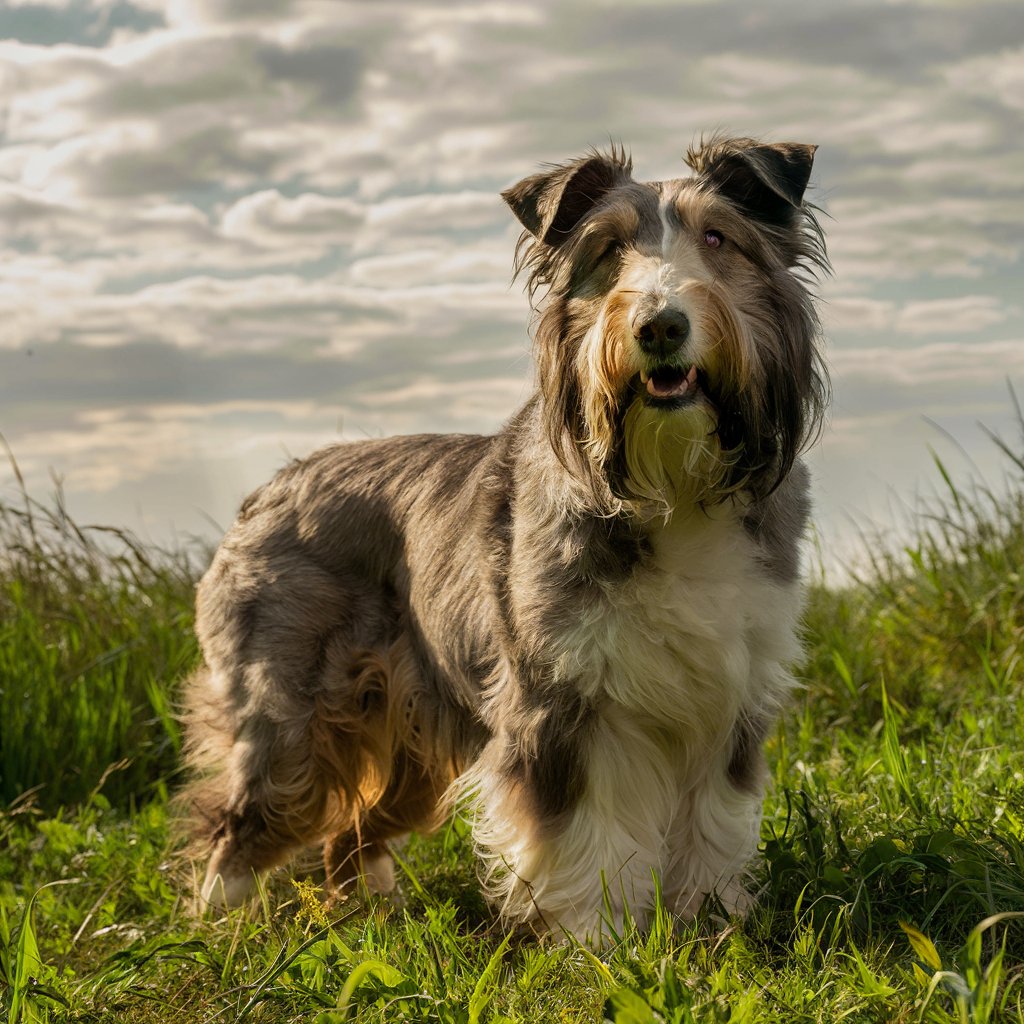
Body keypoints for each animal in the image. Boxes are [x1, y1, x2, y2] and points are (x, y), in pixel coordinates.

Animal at [180, 136, 827, 942]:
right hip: (292, 719)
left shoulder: (730, 700)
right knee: (242, 820)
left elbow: (713, 824)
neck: (674, 487)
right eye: (607, 250)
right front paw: (598, 942)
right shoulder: (559, 702)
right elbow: (587, 835)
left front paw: (710, 926)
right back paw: (219, 924)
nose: (659, 327)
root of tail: (266, 491)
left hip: (414, 741)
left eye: (718, 239)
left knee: (349, 835)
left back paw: (377, 916)